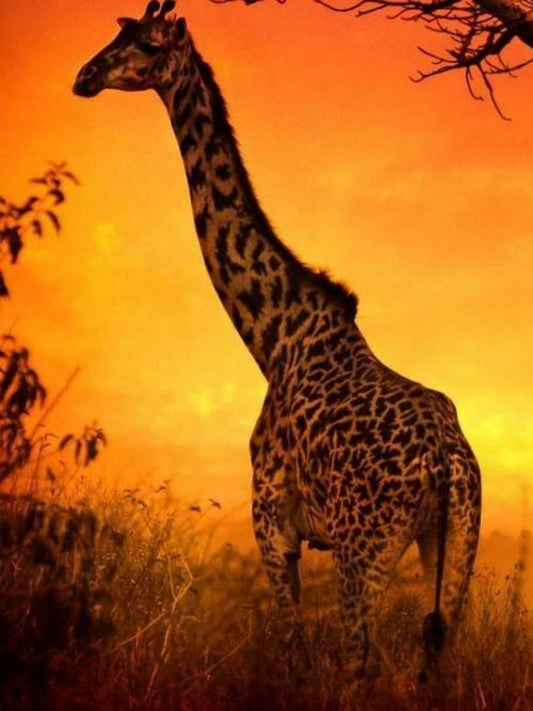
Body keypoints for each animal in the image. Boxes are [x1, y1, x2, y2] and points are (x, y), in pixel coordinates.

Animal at [73, 0, 481, 686]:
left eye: (149, 47)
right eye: (117, 32)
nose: (85, 77)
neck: (272, 335)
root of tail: (446, 461)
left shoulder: (272, 520)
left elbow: (294, 653)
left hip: (365, 550)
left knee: (358, 665)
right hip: (452, 544)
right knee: (437, 654)